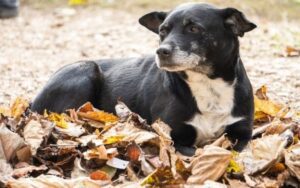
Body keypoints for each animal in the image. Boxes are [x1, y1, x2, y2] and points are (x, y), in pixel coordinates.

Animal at [30, 3, 255, 156]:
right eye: (163, 31)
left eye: (193, 28)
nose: (161, 51)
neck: (207, 84)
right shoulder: (173, 137)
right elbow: (201, 151)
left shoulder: (242, 134)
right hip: (85, 69)